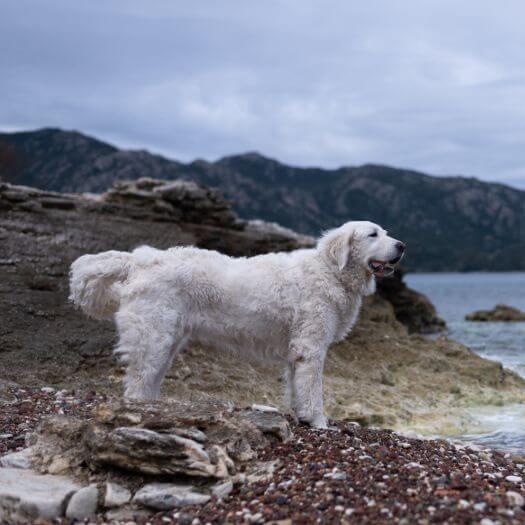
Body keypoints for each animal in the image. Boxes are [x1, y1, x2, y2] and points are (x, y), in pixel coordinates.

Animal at [69, 219, 404, 428]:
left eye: (386, 232)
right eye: (373, 234)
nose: (401, 245)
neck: (331, 270)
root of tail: (140, 259)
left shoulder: (297, 353)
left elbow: (297, 389)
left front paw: (303, 418)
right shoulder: (311, 348)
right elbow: (313, 391)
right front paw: (320, 423)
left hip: (166, 344)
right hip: (153, 339)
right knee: (137, 386)